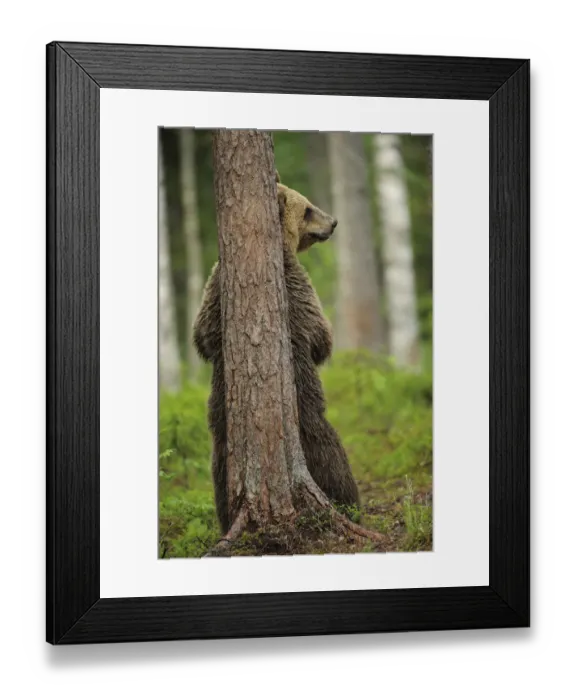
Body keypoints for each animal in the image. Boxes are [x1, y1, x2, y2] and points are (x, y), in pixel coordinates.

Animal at [193, 171, 360, 534]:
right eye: (308, 209)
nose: (333, 222)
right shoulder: (296, 285)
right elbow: (319, 335)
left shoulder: (213, 288)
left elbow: (201, 336)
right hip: (307, 411)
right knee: (329, 451)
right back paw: (349, 503)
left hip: (221, 431)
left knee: (219, 470)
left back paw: (226, 517)